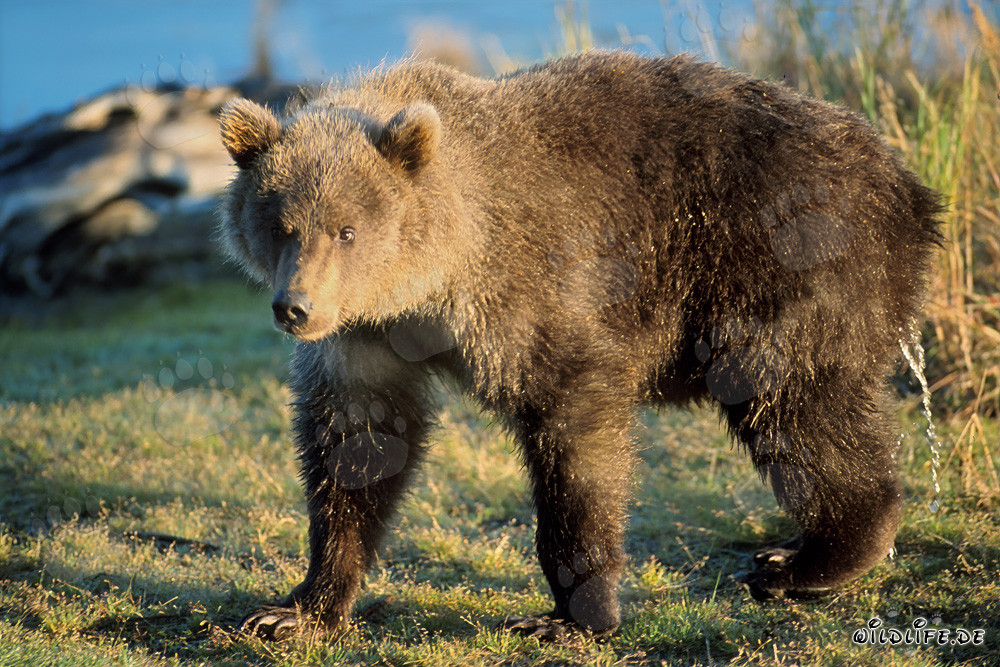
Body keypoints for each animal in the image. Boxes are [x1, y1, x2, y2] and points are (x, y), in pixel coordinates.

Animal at [217, 50, 941, 640]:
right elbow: (359, 447)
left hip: (780, 256)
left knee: (794, 404)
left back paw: (811, 558)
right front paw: (296, 607)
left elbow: (576, 441)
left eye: (347, 229)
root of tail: (908, 184)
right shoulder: (366, 339)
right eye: (280, 223)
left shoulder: (538, 291)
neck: (429, 283)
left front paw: (570, 614)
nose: (296, 307)